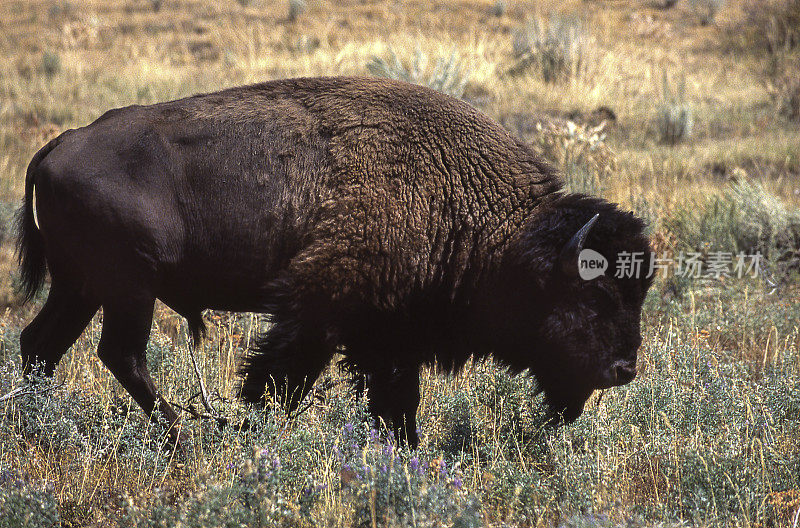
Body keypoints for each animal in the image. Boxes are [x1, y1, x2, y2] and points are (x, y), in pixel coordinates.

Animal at [15, 76, 652, 446]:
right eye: (590, 295)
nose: (624, 369)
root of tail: (61, 142)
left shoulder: (387, 332)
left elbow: (393, 399)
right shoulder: (323, 311)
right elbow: (283, 380)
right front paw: (253, 425)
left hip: (81, 288)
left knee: (41, 344)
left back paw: (39, 420)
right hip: (128, 290)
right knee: (119, 353)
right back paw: (190, 430)